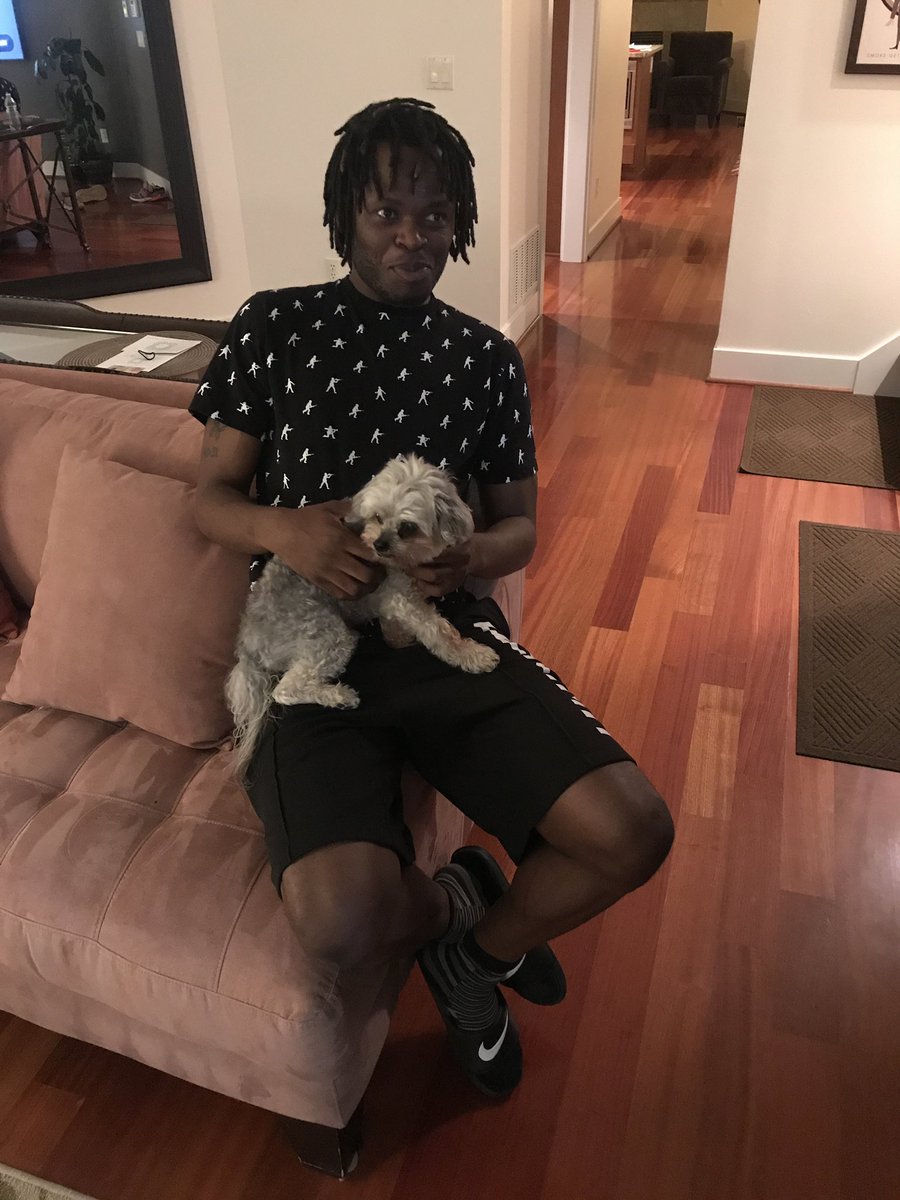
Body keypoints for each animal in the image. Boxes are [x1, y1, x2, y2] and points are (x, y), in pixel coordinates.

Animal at [226, 454, 500, 777]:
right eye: (377, 517)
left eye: (407, 527)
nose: (378, 545)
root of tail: (248, 647)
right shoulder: (400, 595)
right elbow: (439, 631)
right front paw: (472, 654)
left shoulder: (392, 595)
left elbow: (396, 625)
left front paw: (399, 640)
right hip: (331, 637)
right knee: (285, 689)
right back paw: (339, 697)